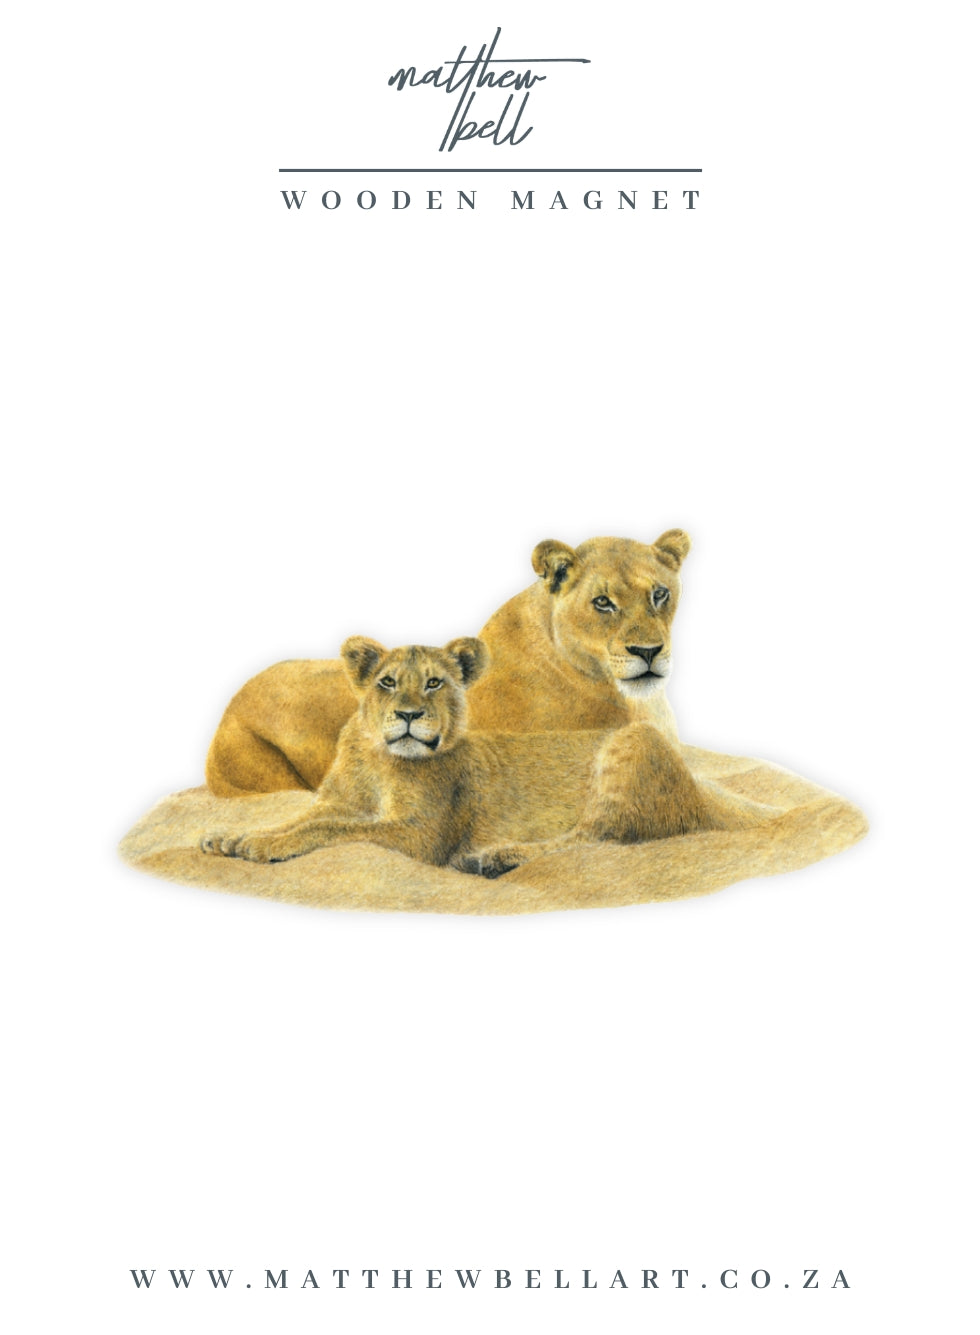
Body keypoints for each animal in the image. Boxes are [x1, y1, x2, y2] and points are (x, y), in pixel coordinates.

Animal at [201, 635, 766, 874]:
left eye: (434, 682)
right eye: (387, 682)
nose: (409, 715)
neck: (377, 760)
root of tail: (698, 785)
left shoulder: (420, 835)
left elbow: (333, 831)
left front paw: (261, 847)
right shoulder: (334, 801)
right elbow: (300, 819)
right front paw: (232, 836)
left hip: (630, 746)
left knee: (597, 836)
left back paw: (493, 858)